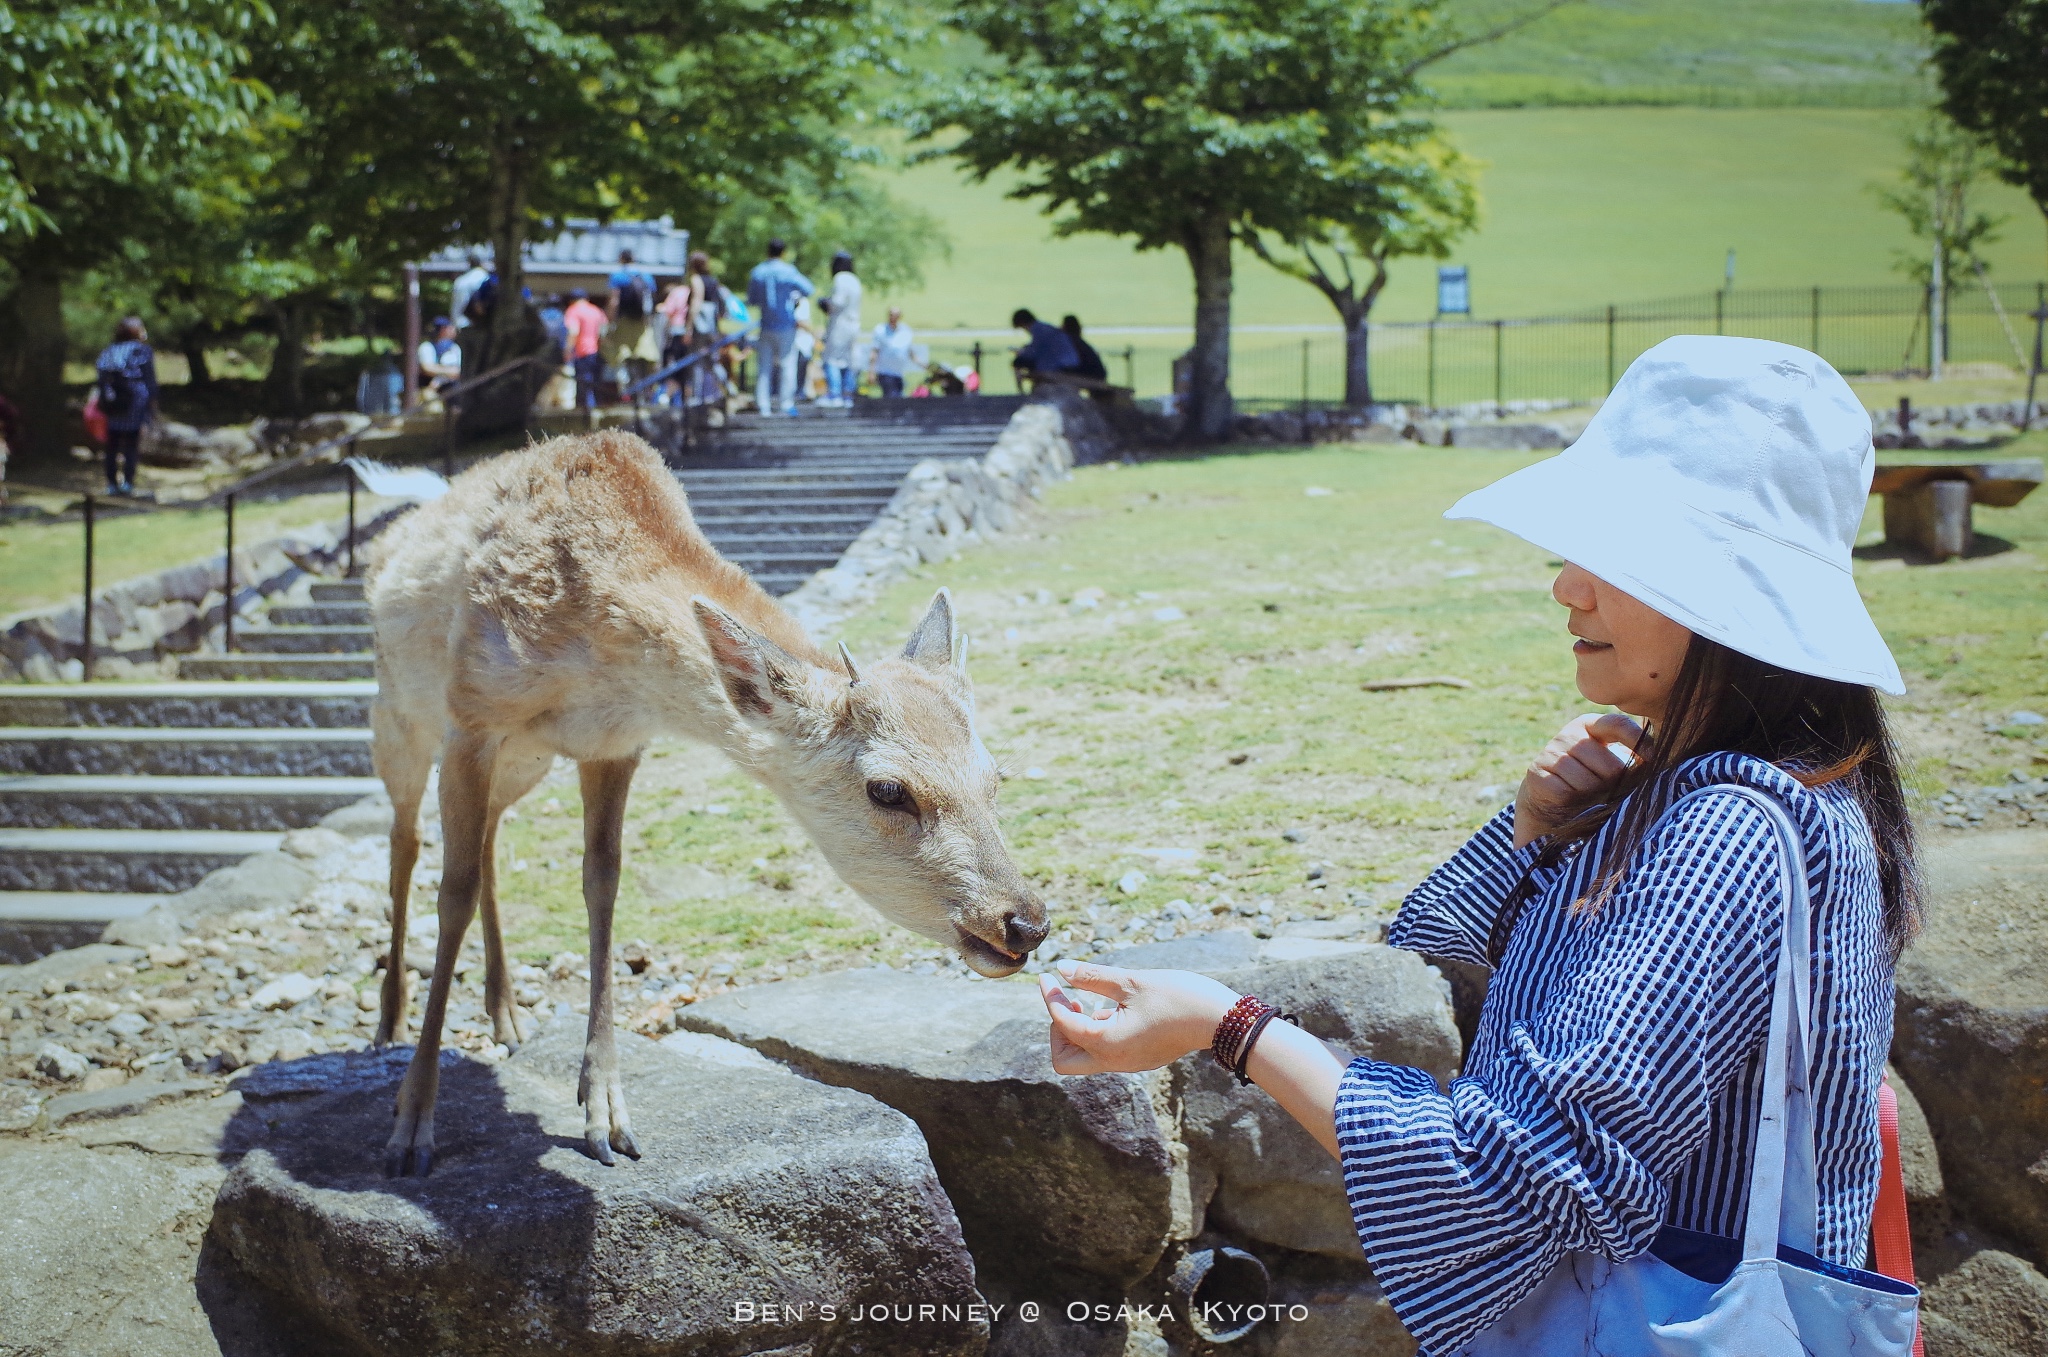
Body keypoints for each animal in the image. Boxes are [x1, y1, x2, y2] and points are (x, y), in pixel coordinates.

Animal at [358, 429, 1048, 1170]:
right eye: (888, 789)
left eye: (995, 774)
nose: (1024, 922)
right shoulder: (472, 715)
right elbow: (450, 894)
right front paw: (411, 1126)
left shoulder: (614, 744)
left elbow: (602, 883)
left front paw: (607, 1116)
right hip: (398, 720)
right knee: (407, 839)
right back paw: (389, 1024)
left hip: (526, 762)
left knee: (488, 834)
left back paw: (507, 1016)